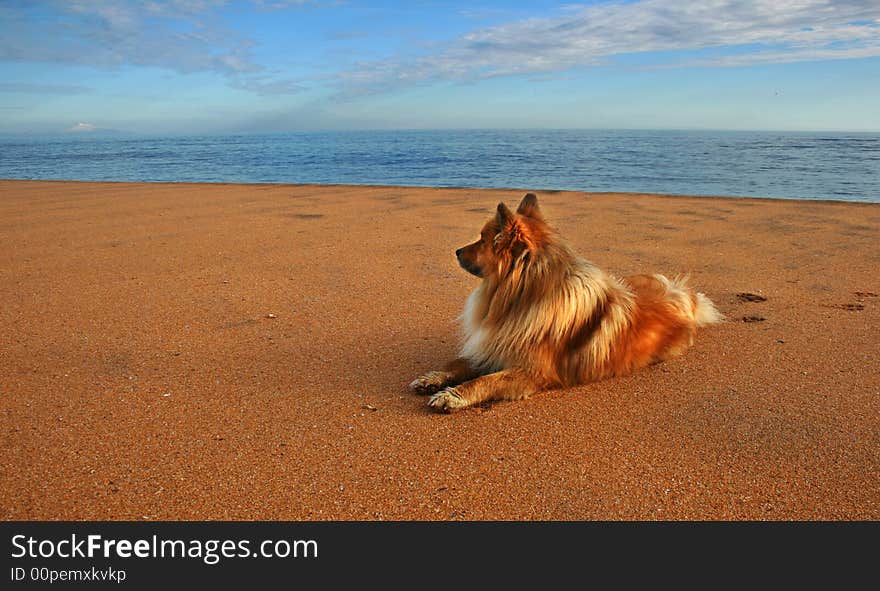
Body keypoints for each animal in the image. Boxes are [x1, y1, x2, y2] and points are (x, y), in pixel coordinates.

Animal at [410, 193, 720, 412]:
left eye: (483, 240)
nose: (456, 251)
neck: (520, 298)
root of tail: (681, 294)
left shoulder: (530, 371)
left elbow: (486, 380)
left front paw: (452, 396)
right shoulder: (496, 345)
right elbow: (460, 363)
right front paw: (432, 378)